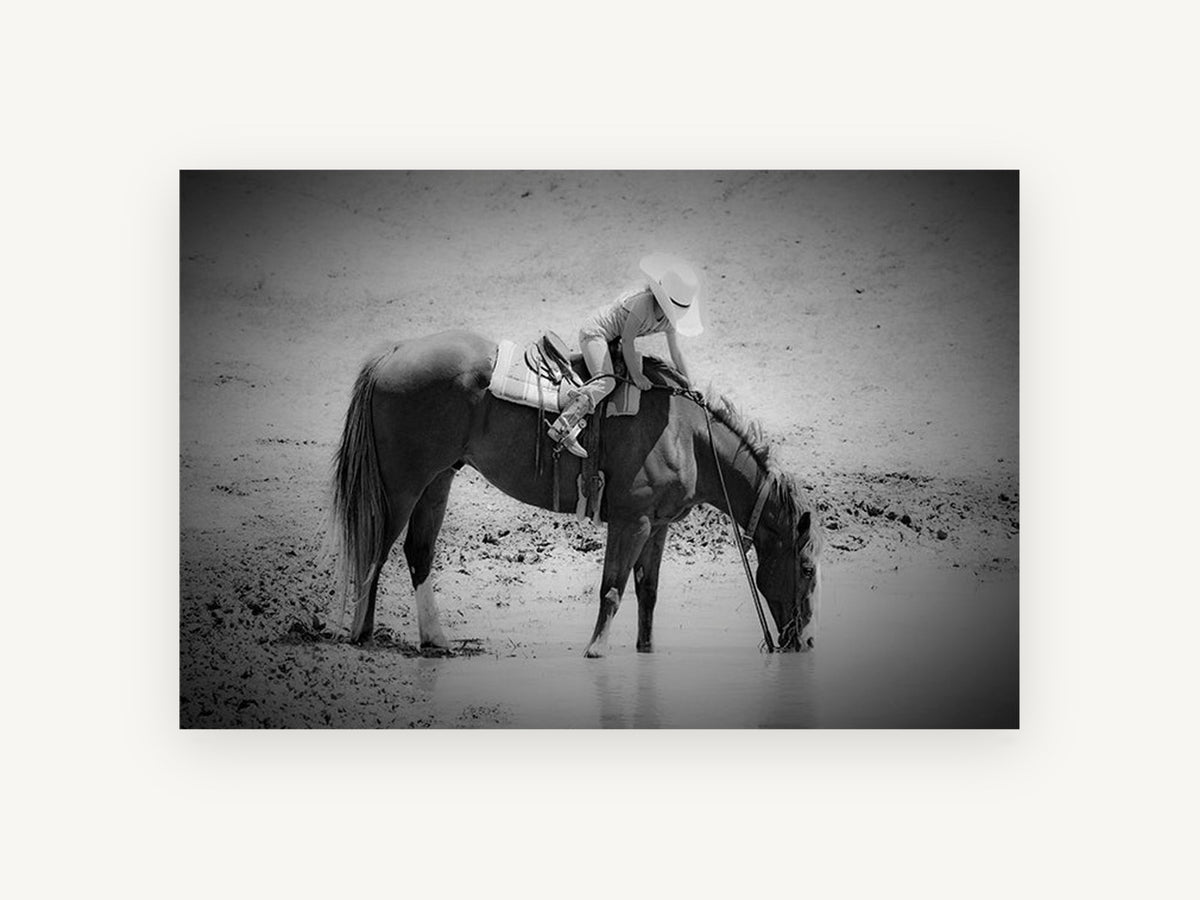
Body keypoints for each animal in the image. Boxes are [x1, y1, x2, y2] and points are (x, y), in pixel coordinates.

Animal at [330, 329, 823, 657]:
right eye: (807, 568)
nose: (806, 640)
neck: (687, 436)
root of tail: (392, 354)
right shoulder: (631, 521)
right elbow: (612, 589)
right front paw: (596, 651)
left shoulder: (658, 526)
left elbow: (647, 592)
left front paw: (645, 650)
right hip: (402, 484)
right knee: (376, 547)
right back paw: (361, 633)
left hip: (438, 480)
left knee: (418, 552)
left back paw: (435, 639)